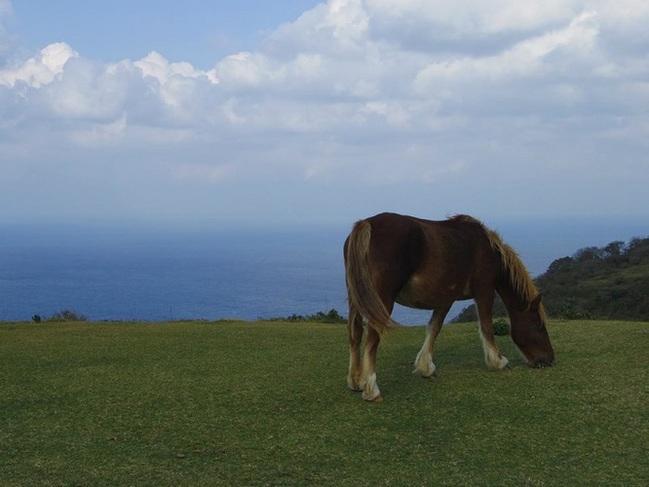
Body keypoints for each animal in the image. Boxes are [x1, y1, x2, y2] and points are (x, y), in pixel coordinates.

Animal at [344, 212, 552, 402]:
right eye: (539, 326)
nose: (549, 360)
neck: (488, 248)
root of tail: (367, 223)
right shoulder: (485, 290)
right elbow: (486, 326)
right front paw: (498, 362)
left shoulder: (445, 299)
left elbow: (434, 328)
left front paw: (425, 367)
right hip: (382, 299)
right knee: (372, 337)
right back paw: (371, 389)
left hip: (356, 299)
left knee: (355, 333)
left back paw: (355, 381)